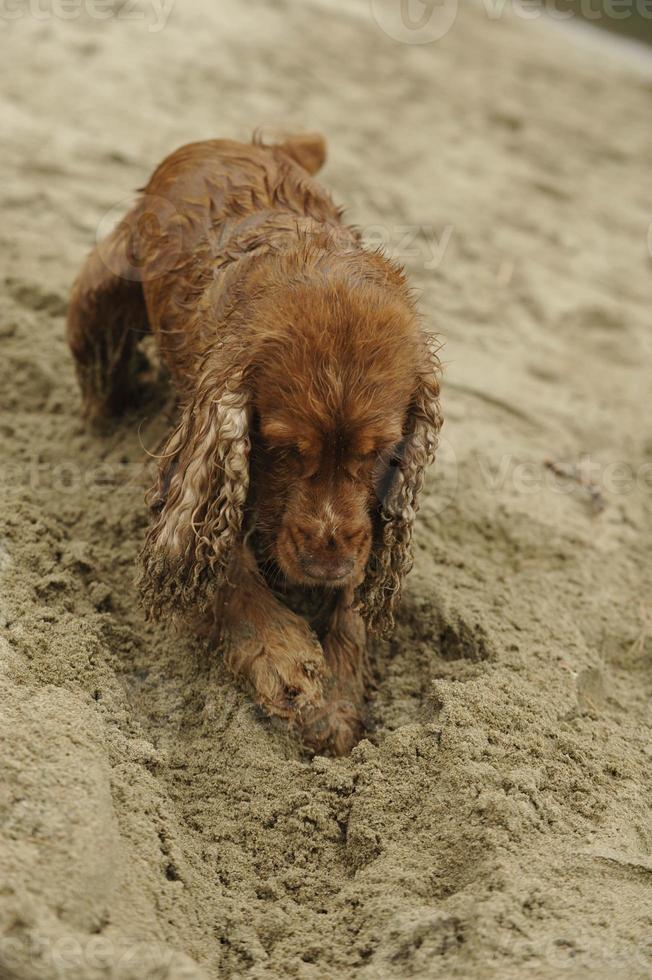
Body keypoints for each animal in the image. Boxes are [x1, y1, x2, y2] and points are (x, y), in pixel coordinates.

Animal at [67, 134, 444, 756]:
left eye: (378, 452)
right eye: (285, 449)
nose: (325, 562)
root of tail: (239, 139)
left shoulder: (363, 525)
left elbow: (352, 605)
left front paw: (337, 700)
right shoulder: (203, 455)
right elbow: (223, 567)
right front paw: (284, 659)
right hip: (98, 298)